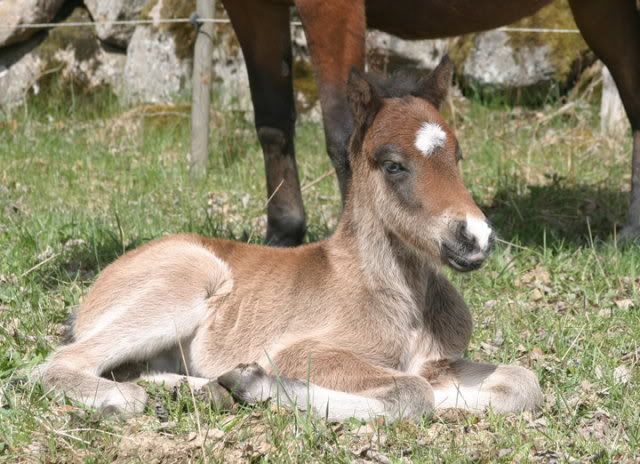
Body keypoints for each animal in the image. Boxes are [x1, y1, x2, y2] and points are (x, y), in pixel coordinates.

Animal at [37, 57, 544, 420]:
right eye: (393, 164)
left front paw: (244, 382)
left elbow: (522, 382)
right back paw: (123, 401)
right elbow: (412, 393)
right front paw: (255, 383)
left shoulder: (437, 361)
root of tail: (100, 284)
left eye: (457, 157)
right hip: (182, 285)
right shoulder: (301, 351)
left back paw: (206, 390)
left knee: (137, 367)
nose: (474, 237)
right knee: (61, 362)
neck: (404, 300)